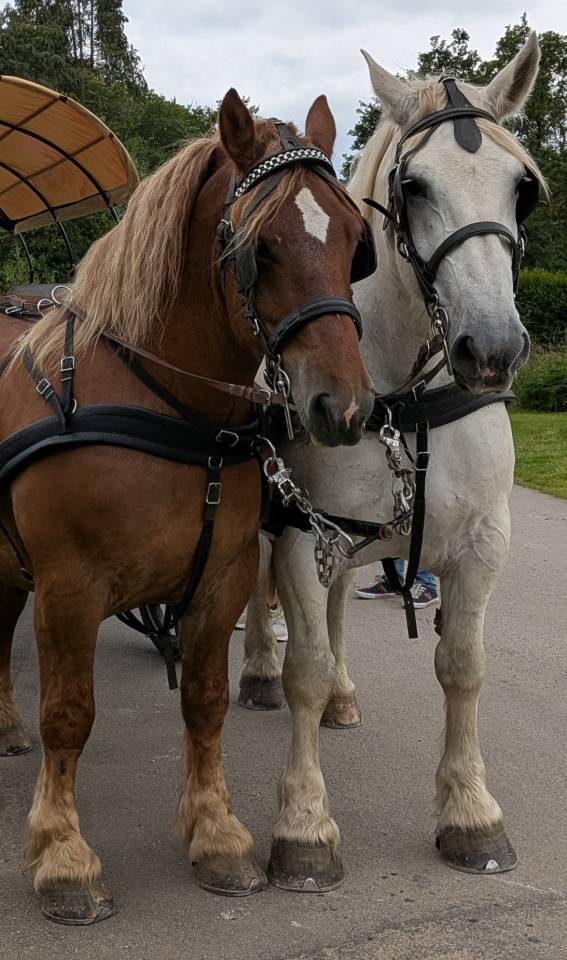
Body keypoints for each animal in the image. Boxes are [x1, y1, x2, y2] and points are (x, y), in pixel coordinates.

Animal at [0, 89, 376, 923]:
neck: (168, 405)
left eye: (354, 241)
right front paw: (63, 854)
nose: (342, 407)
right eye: (261, 248)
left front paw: (216, 834)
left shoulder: (222, 578)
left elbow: (205, 702)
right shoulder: (67, 586)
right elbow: (68, 713)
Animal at [239, 33, 545, 892]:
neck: (399, 401)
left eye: (521, 188)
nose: (491, 348)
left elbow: (462, 665)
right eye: (413, 185)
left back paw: (344, 695)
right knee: (259, 602)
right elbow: (304, 667)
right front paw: (304, 826)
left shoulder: (480, 544)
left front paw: (470, 811)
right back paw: (257, 672)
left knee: (342, 607)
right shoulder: (303, 536)